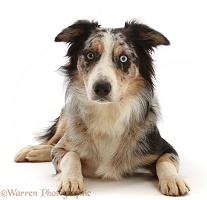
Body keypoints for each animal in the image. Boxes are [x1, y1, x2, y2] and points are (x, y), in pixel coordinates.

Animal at [14, 19, 189, 196]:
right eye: (90, 55)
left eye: (123, 58)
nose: (101, 88)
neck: (108, 113)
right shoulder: (61, 150)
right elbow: (70, 154)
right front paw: (71, 180)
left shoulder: (164, 147)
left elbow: (165, 161)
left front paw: (173, 180)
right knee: (51, 141)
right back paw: (31, 150)